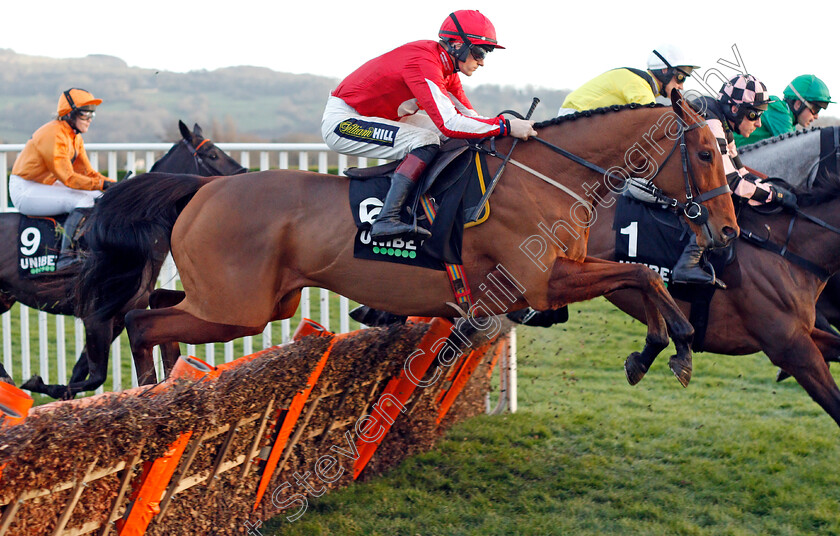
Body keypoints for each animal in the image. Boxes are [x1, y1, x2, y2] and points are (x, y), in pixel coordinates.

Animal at [2, 121, 246, 398]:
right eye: (213, 154)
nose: (243, 176)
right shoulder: (95, 316)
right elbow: (96, 376)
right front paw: (39, 385)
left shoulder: (118, 316)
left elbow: (82, 372)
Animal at [75, 95, 740, 386]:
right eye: (708, 153)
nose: (728, 232)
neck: (547, 176)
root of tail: (202, 187)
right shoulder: (535, 285)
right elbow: (642, 274)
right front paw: (676, 341)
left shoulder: (558, 278)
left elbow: (643, 278)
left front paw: (659, 347)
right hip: (237, 307)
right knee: (141, 321)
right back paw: (146, 400)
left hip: (249, 303)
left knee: (149, 310)